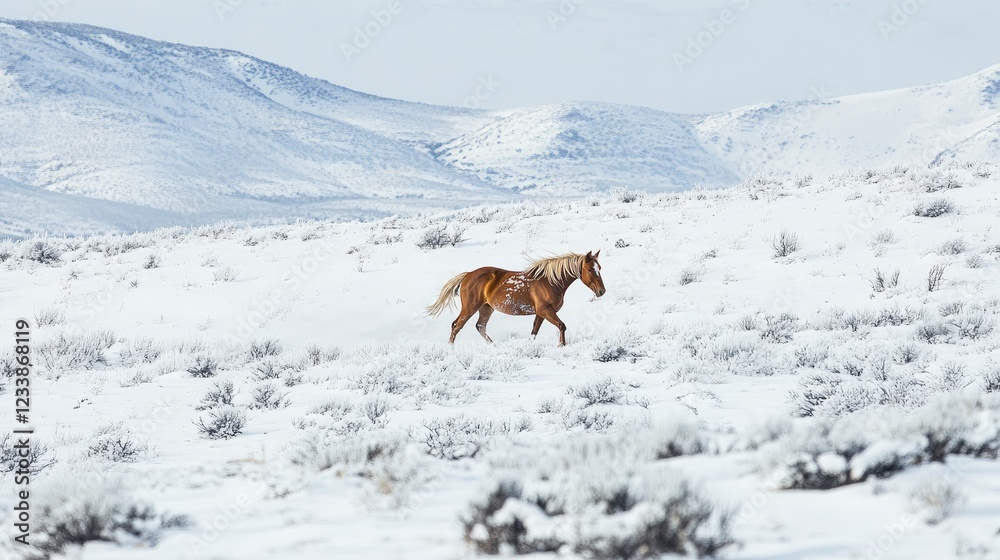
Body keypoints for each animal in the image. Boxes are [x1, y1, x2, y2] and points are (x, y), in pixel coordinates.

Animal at [426, 251, 606, 346]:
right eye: (590, 269)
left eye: (600, 268)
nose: (601, 291)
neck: (550, 281)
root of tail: (468, 275)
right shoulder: (545, 311)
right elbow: (562, 326)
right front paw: (562, 345)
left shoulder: (541, 313)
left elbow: (534, 331)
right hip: (470, 307)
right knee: (456, 325)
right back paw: (450, 348)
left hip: (486, 307)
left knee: (480, 326)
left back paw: (494, 346)